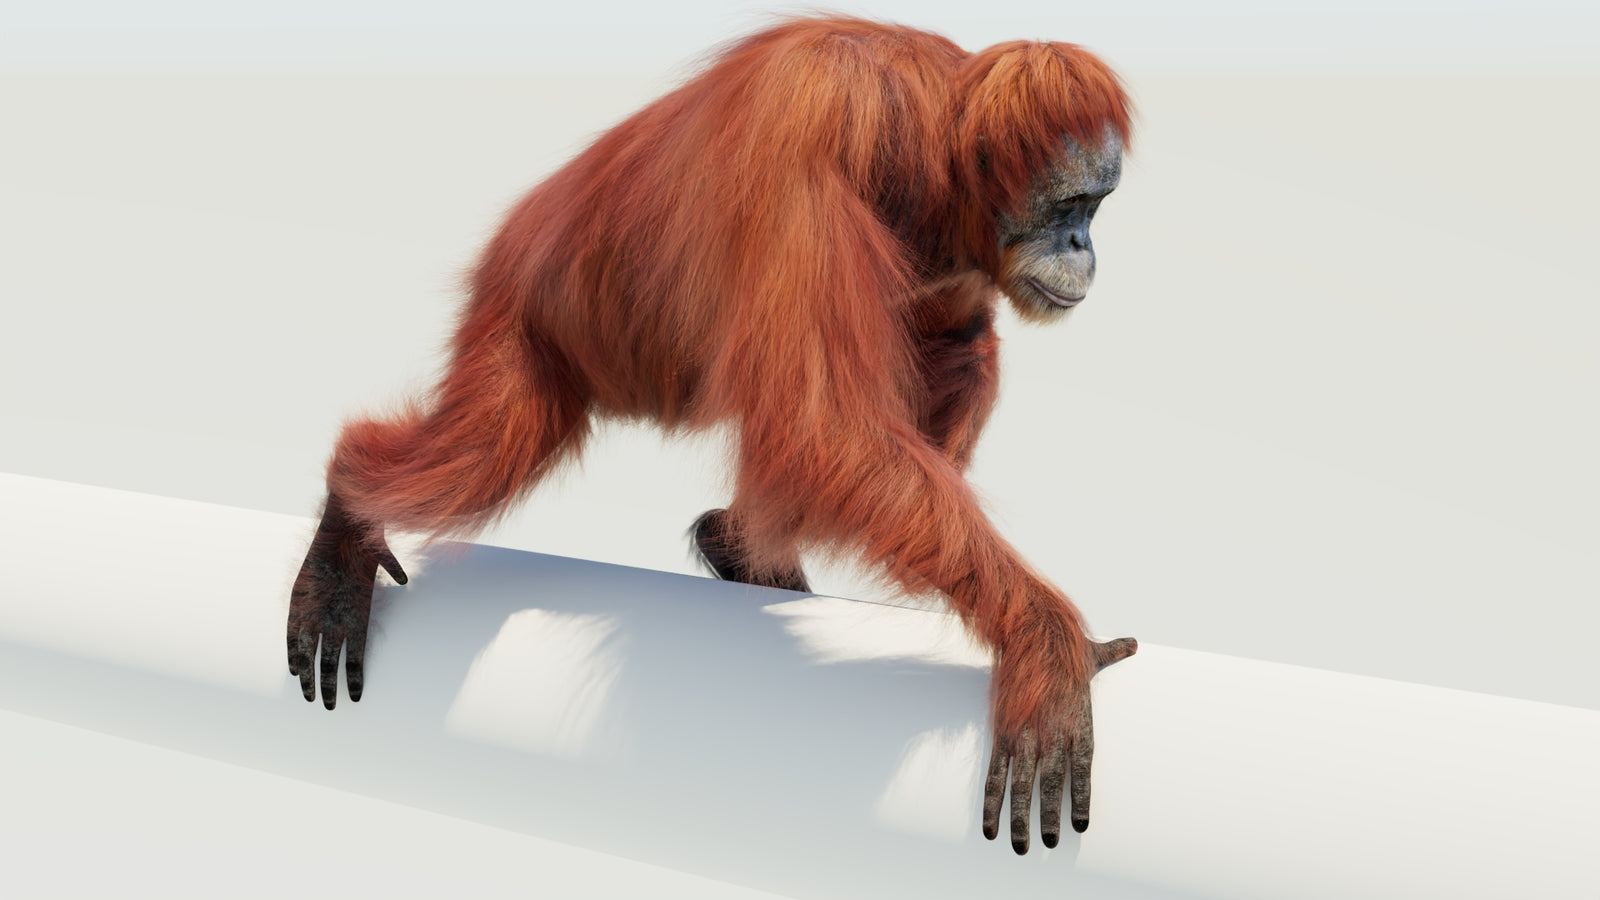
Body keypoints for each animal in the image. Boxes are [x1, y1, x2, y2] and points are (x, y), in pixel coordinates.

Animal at [288, 16, 1138, 854]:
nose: (1084, 247)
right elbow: (821, 423)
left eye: (1096, 208)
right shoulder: (817, 122)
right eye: (1070, 206)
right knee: (483, 453)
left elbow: (941, 354)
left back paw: (741, 546)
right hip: (525, 310)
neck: (929, 141)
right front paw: (1044, 644)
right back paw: (349, 516)